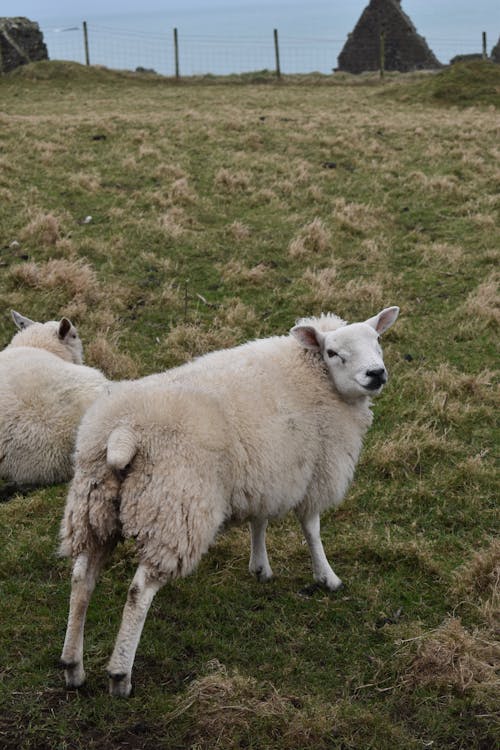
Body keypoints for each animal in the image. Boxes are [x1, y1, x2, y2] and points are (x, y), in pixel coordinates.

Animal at [60, 306, 398, 700]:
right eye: (333, 353)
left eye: (377, 341)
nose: (376, 374)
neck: (314, 374)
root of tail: (122, 434)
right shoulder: (315, 472)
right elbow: (311, 529)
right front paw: (327, 577)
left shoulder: (265, 473)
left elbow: (259, 521)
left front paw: (260, 567)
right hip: (175, 510)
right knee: (138, 592)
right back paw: (119, 675)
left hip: (94, 508)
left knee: (81, 580)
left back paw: (72, 666)